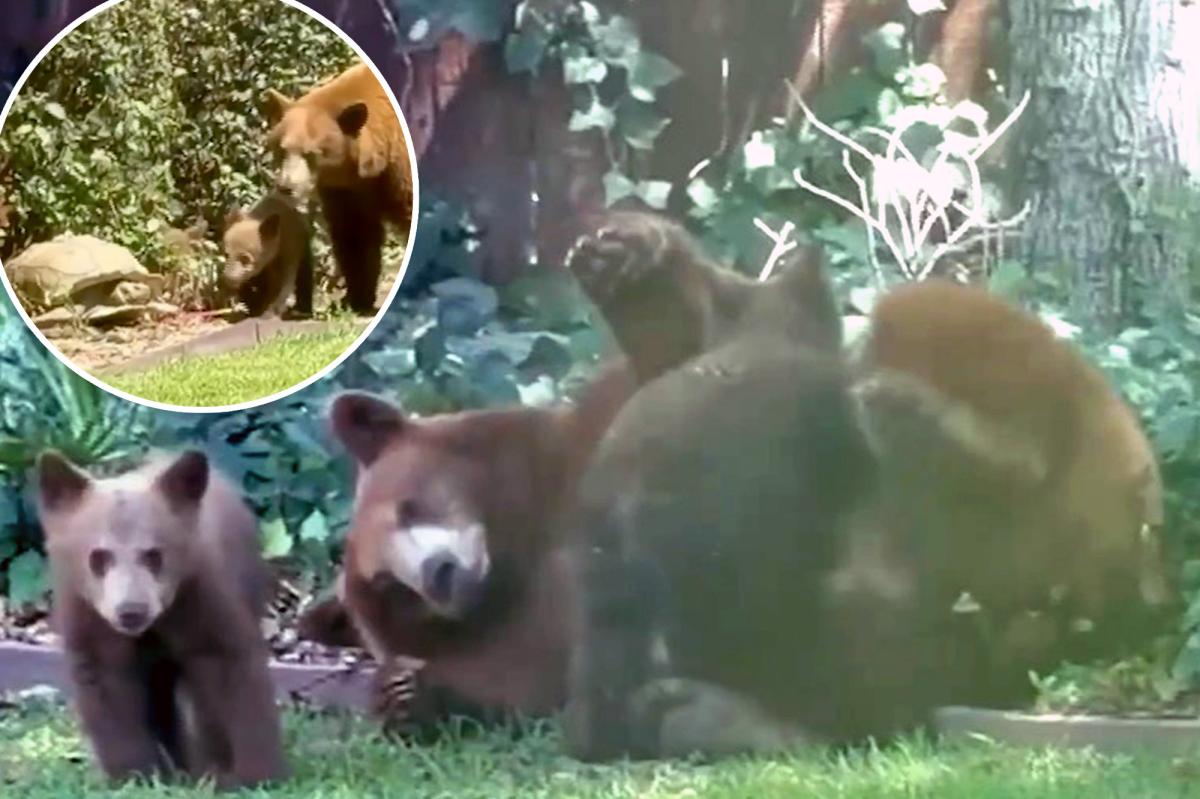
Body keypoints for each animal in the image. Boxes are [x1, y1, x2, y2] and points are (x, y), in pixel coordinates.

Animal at [36, 449, 288, 790]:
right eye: (98, 556)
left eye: (154, 554)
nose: (131, 610)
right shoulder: (89, 617)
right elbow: (106, 686)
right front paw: (133, 775)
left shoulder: (201, 598)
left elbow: (231, 671)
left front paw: (254, 775)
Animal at [264, 62, 413, 315]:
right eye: (282, 149)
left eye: (311, 154)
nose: (286, 187)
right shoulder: (348, 189)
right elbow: (354, 233)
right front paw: (358, 298)